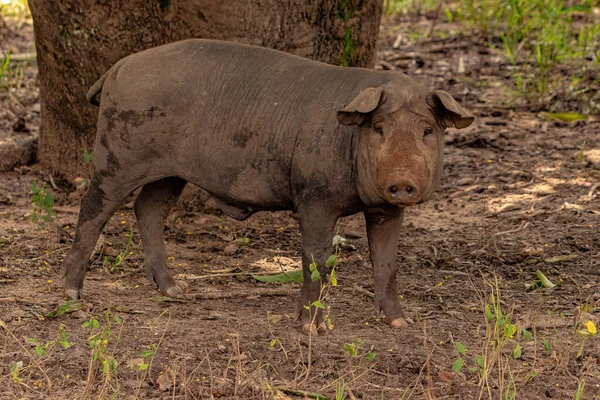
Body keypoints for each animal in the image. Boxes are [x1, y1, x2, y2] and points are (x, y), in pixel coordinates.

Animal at [62, 38, 474, 332]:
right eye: (378, 128)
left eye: (427, 130)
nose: (402, 182)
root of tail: (117, 68)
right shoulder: (314, 197)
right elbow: (316, 257)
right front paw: (311, 328)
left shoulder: (385, 209)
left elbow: (387, 263)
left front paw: (401, 323)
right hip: (117, 154)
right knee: (94, 208)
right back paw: (73, 294)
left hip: (170, 173)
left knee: (148, 208)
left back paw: (175, 291)